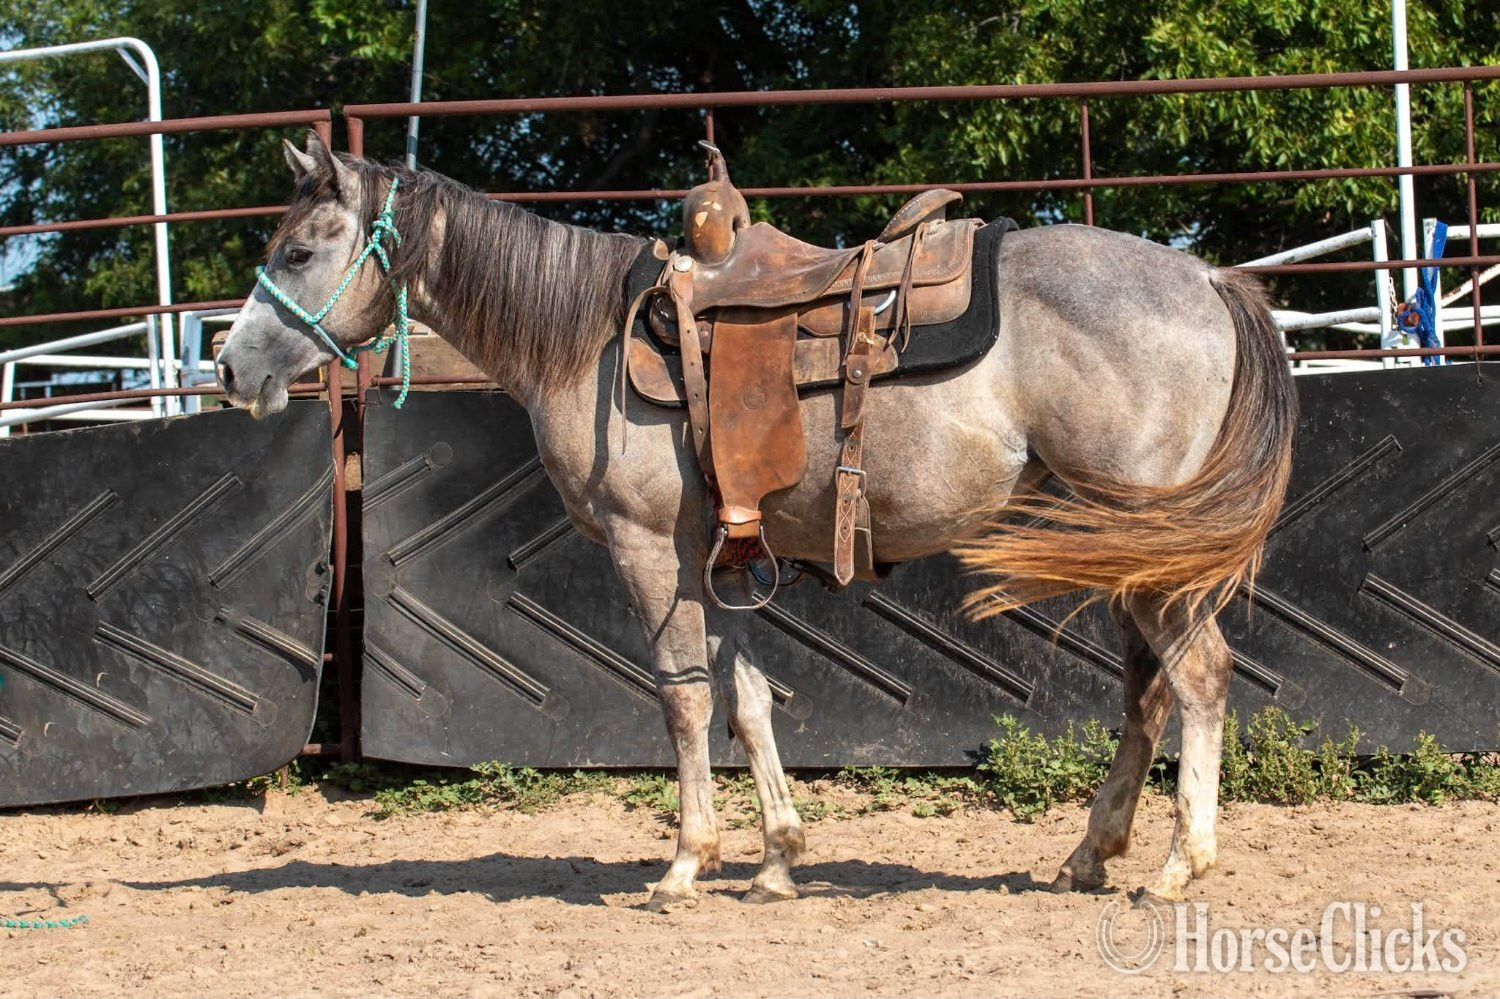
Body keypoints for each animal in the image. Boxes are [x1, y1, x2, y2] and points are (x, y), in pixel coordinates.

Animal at [216, 132, 1296, 909]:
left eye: (300, 250)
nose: (228, 367)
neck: (587, 338)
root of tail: (1208, 281)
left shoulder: (650, 552)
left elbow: (685, 699)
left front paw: (686, 863)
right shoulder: (720, 555)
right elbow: (747, 698)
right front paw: (778, 857)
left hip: (1154, 552)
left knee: (1198, 679)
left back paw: (1178, 865)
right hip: (1123, 547)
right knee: (1147, 692)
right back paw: (1090, 853)